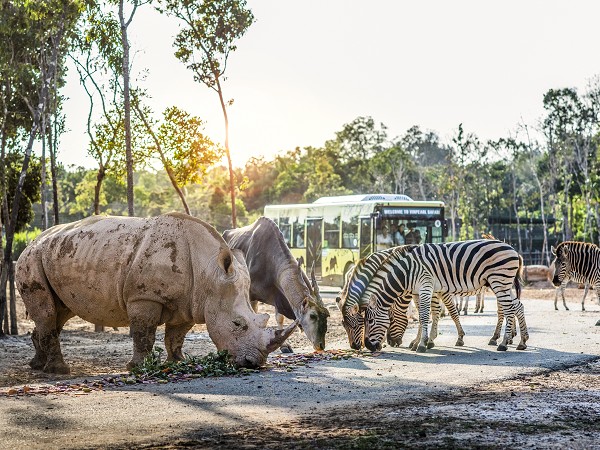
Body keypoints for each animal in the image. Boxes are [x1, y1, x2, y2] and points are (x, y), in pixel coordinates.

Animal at [336, 248, 466, 350]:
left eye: (355, 326)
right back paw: (429, 340)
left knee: (449, 310)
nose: (354, 347)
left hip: (441, 289)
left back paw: (458, 337)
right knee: (435, 311)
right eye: (344, 326)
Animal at [360, 241, 524, 354]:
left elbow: (425, 317)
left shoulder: (426, 287)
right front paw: (417, 342)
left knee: (509, 309)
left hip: (499, 281)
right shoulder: (418, 292)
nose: (368, 345)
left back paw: (504, 343)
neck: (407, 272)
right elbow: (423, 317)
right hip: (502, 283)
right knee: (517, 306)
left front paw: (422, 344)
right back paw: (521, 341)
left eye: (370, 321)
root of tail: (513, 250)